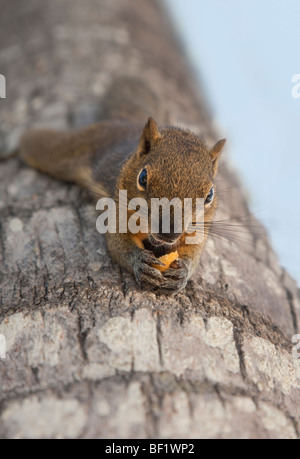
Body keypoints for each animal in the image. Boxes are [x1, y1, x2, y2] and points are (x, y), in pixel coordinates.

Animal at [14, 116, 225, 294]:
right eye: (143, 177)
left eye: (209, 196)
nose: (168, 233)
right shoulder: (119, 213)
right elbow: (117, 243)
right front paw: (139, 261)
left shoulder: (200, 228)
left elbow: (194, 253)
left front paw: (183, 272)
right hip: (65, 151)